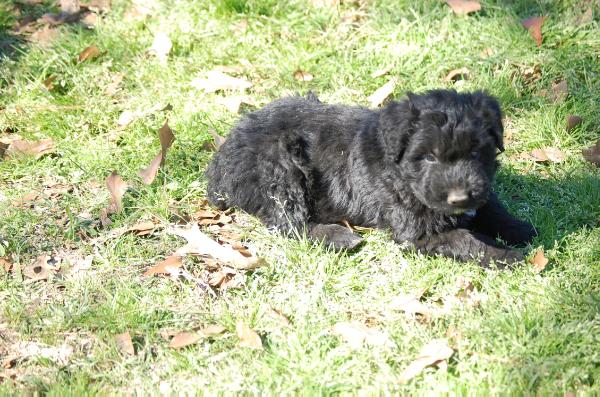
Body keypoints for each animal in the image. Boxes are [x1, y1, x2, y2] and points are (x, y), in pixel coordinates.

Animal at [205, 89, 536, 266]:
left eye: (477, 152)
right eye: (429, 156)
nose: (459, 198)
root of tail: (219, 165)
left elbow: (491, 206)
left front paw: (519, 227)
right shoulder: (416, 230)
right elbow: (465, 238)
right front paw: (506, 255)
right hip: (282, 169)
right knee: (287, 223)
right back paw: (340, 237)